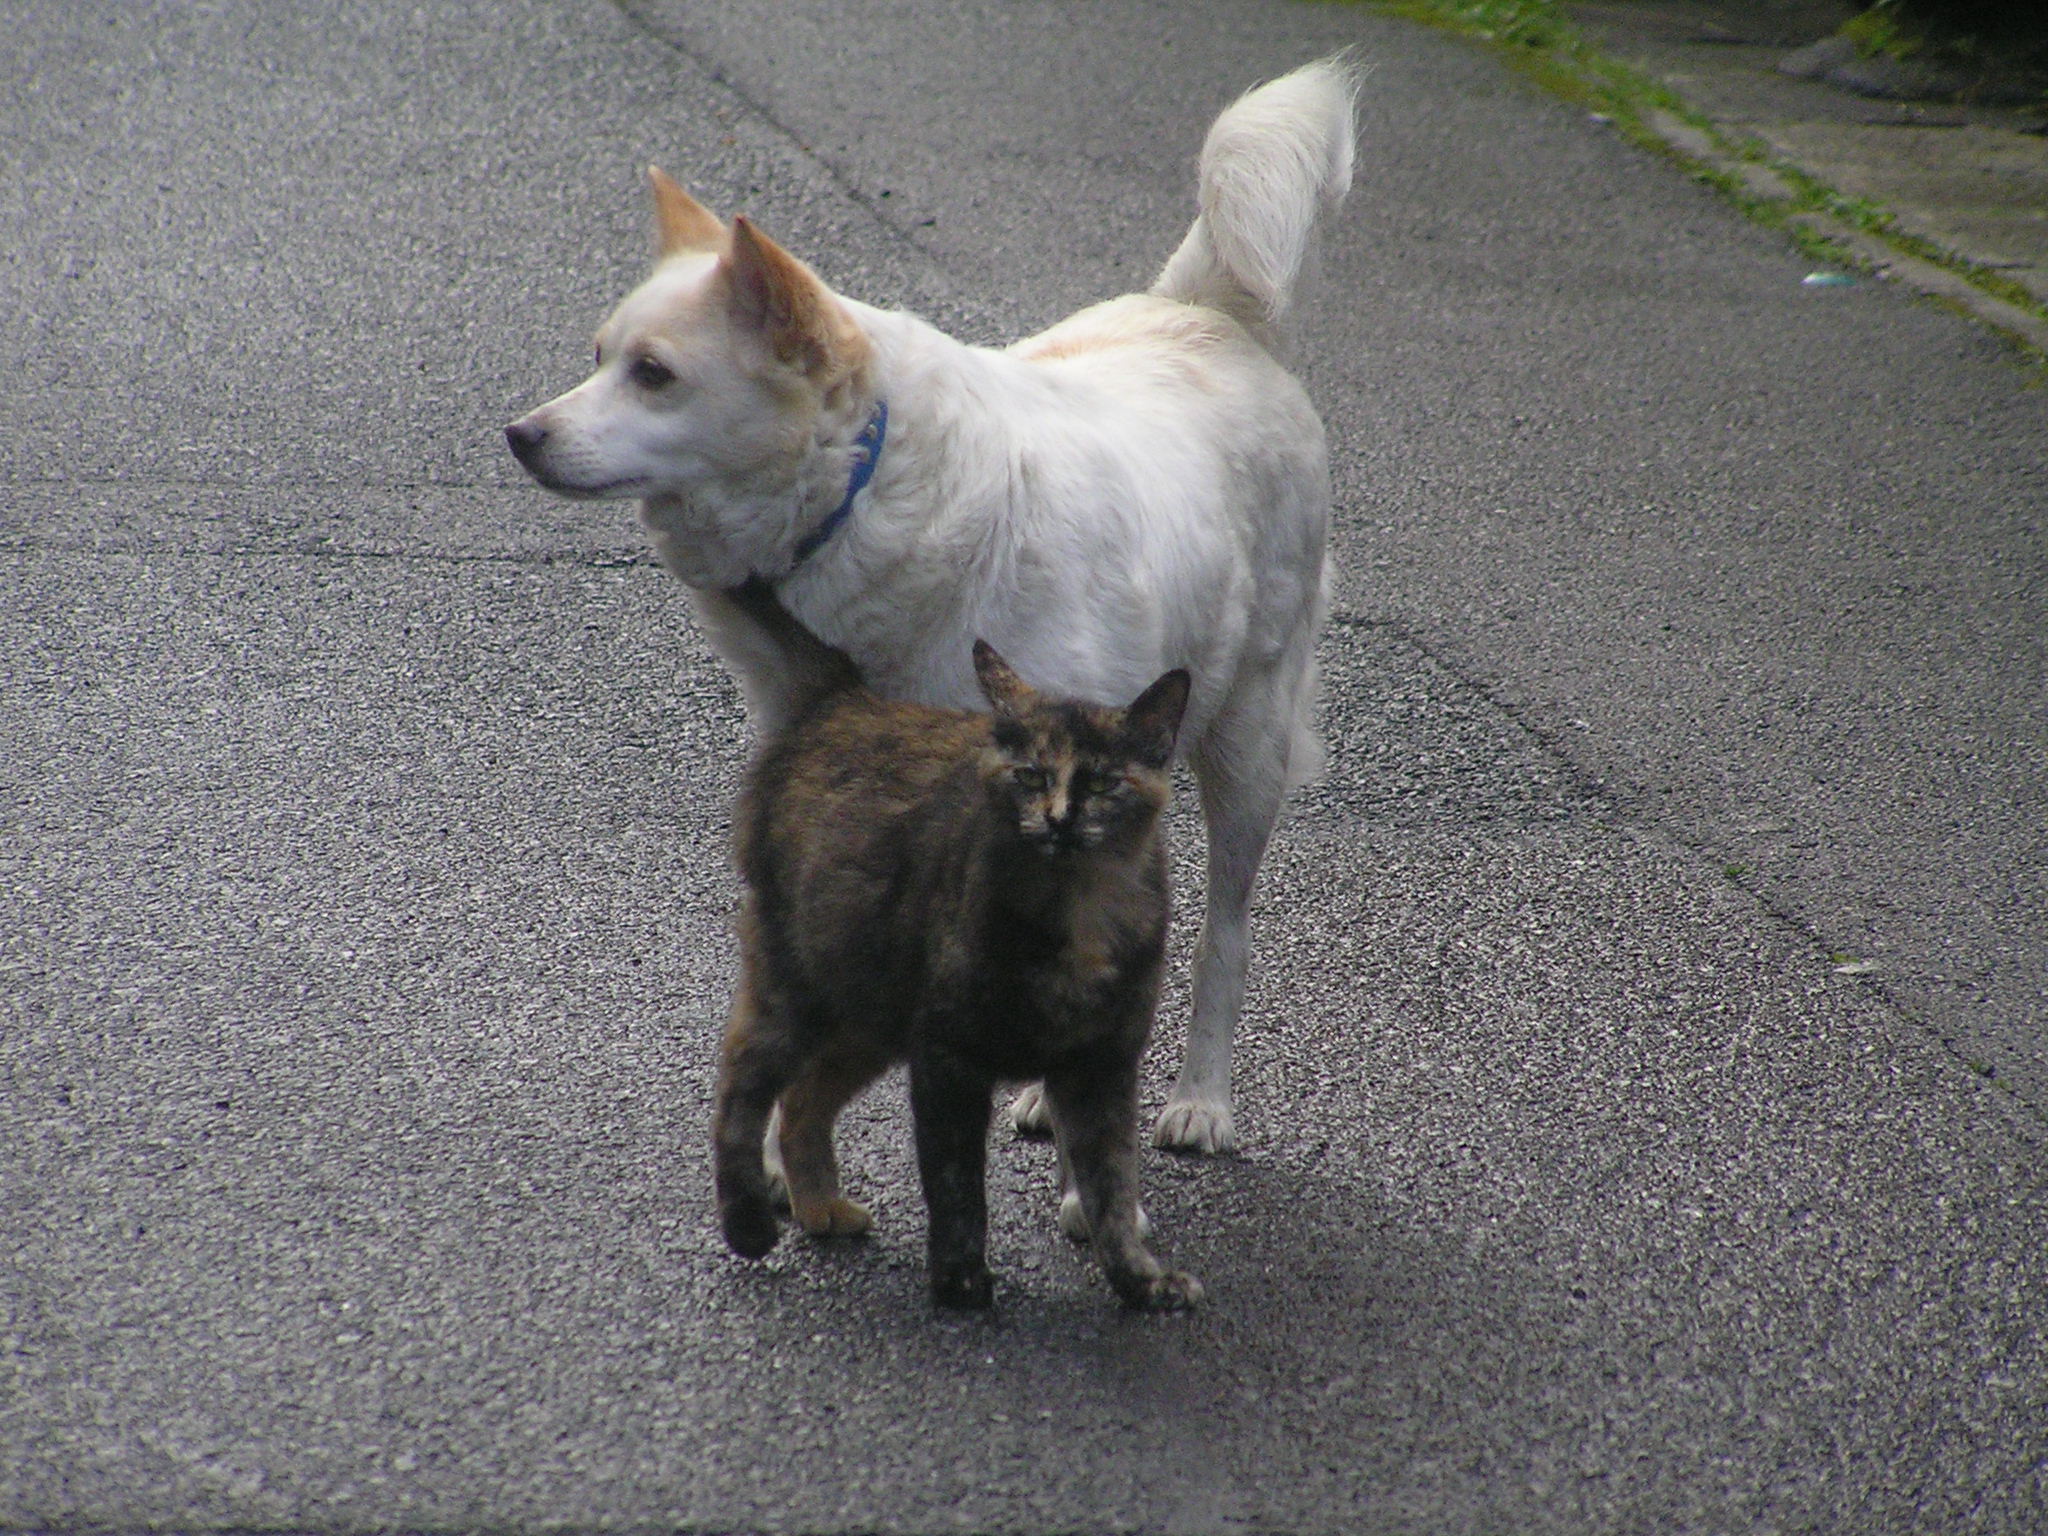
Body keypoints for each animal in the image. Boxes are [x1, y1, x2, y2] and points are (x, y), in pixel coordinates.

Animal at [503, 57, 1351, 1155]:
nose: (521, 435)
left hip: (1248, 745)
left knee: (1226, 935)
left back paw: (1198, 1100)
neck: (861, 484)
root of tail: (1209, 316)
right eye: (599, 356)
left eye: (653, 375)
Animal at [716, 577, 1196, 1310]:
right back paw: (747, 1224)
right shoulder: (949, 1058)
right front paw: (963, 1281)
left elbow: (1113, 1186)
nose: (1060, 818)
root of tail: (843, 699)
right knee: (741, 1077)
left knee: (802, 1100)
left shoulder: (1102, 1064)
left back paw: (821, 1209)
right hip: (797, 984)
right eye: (1031, 775)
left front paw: (1139, 1281)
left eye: (1102, 781)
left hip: (870, 1013)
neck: (1079, 908)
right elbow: (956, 1184)